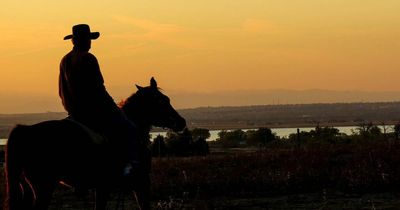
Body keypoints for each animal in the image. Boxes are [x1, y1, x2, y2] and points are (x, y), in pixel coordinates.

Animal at [4, 77, 186, 210]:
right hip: (43, 187)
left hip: (27, 186)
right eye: (161, 101)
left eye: (167, 99)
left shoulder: (103, 187)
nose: (181, 122)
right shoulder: (140, 183)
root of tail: (25, 130)